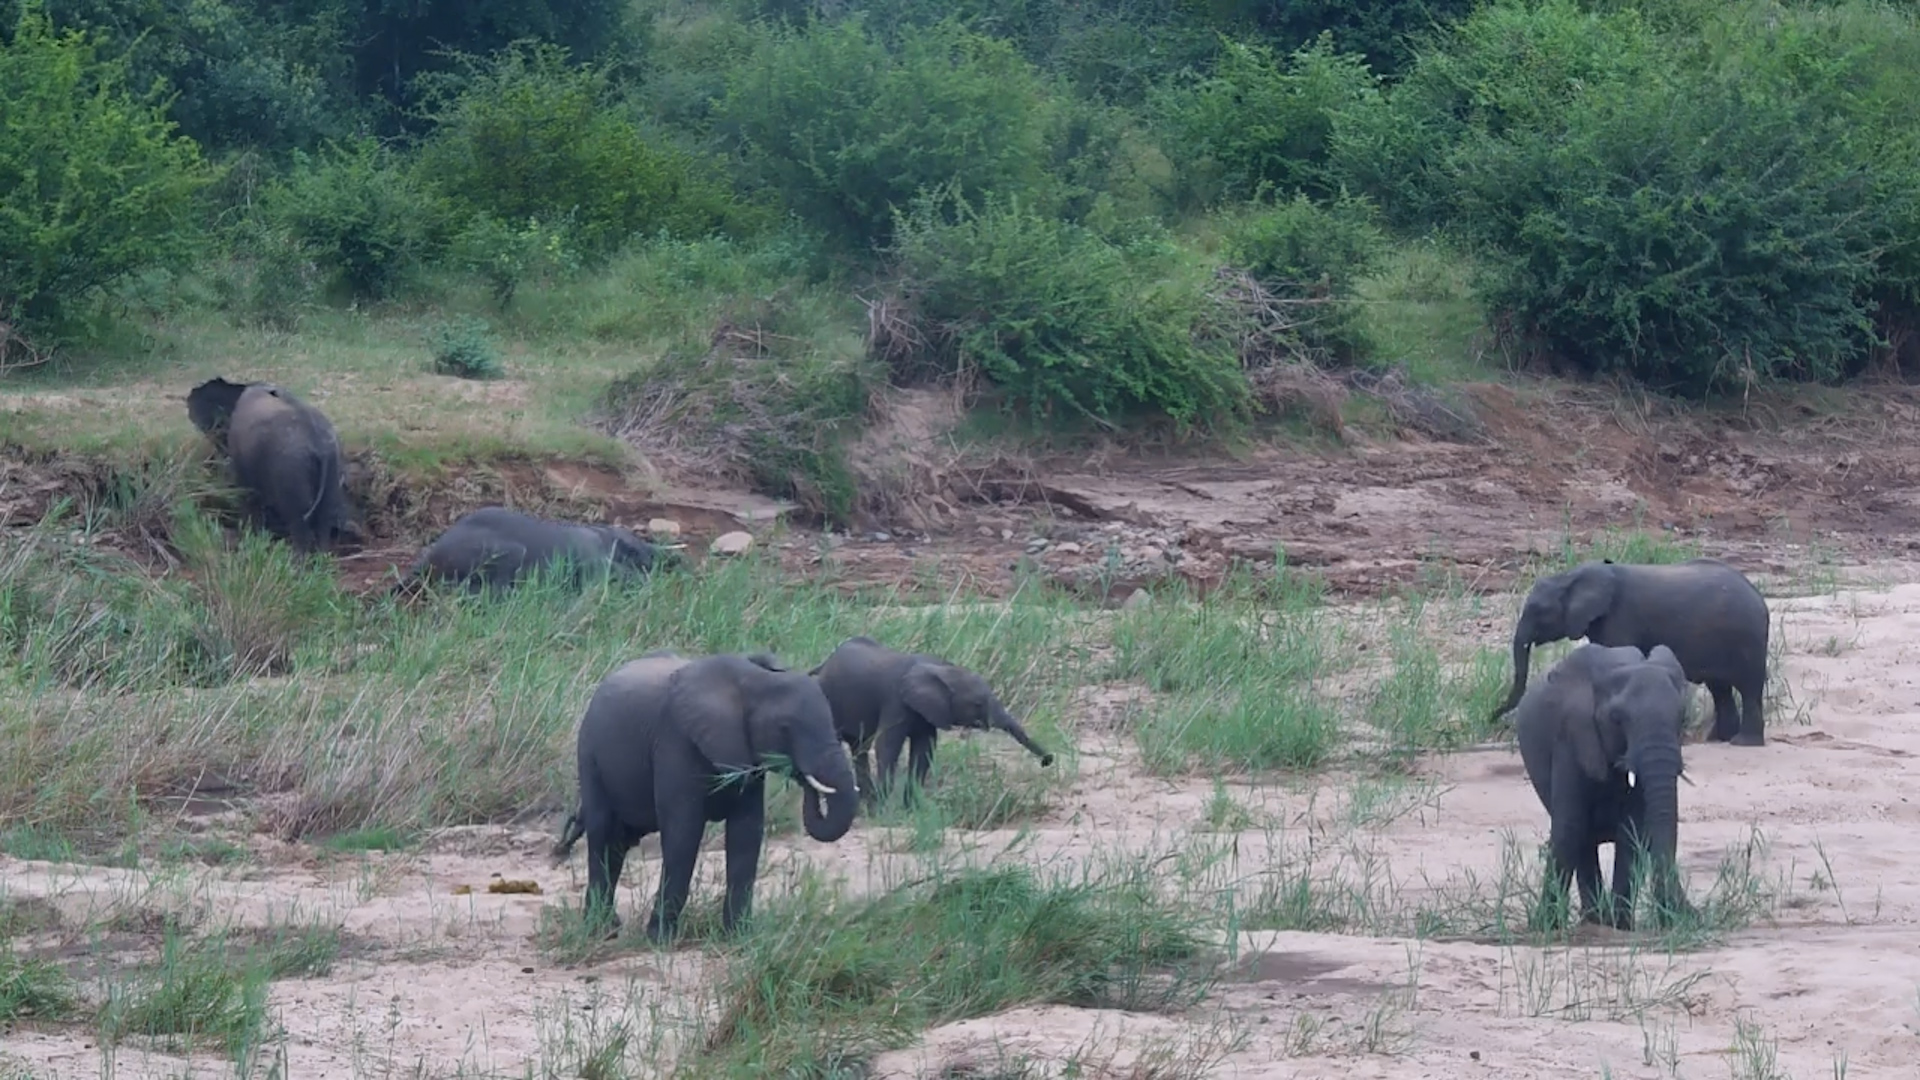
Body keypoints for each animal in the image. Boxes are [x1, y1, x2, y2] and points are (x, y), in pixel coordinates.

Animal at [186, 376, 355, 553]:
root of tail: (320, 447)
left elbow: (246, 493)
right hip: (333, 466)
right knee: (324, 518)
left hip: (291, 470)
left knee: (298, 520)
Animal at [549, 649, 859, 941]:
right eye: (784, 729)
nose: (805, 777)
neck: (754, 681)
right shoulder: (675, 741)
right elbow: (683, 833)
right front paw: (659, 940)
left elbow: (746, 833)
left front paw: (738, 936)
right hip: (589, 755)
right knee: (602, 833)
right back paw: (599, 929)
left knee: (618, 843)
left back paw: (608, 927)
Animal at [807, 635, 1054, 808]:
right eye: (977, 704)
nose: (1048, 760)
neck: (942, 670)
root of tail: (824, 663)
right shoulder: (895, 700)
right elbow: (888, 745)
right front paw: (884, 810)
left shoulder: (930, 711)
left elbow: (924, 749)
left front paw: (912, 809)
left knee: (860, 747)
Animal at [1489, 558, 1771, 746]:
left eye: (1538, 610)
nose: (1492, 716)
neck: (1571, 576)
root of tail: (1758, 595)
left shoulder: (1620, 619)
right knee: (1720, 688)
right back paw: (1716, 740)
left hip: (1748, 637)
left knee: (1749, 687)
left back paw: (1742, 743)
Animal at [1516, 642, 1696, 931]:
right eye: (1616, 718)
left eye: (1682, 716)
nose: (1689, 914)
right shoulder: (1570, 737)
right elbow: (1570, 827)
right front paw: (1546, 926)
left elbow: (1631, 833)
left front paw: (1621, 925)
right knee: (1581, 836)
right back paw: (1592, 919)